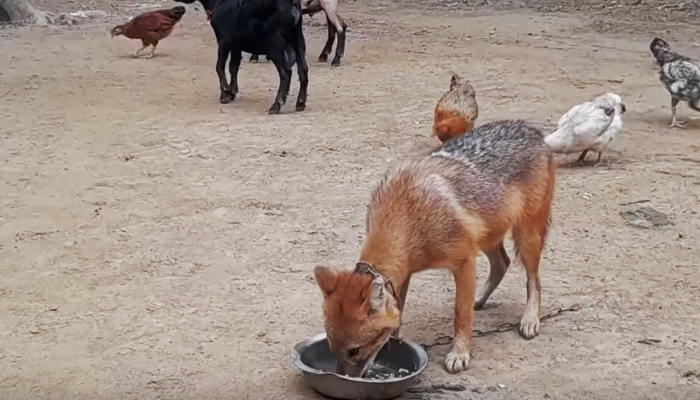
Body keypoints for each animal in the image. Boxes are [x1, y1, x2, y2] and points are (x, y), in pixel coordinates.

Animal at [174, 0, 306, 113]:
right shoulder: (236, 45)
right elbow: (233, 67)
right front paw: (231, 93)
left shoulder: (224, 41)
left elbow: (219, 66)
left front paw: (225, 93)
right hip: (298, 41)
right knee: (303, 70)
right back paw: (300, 103)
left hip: (275, 45)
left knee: (286, 73)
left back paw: (276, 105)